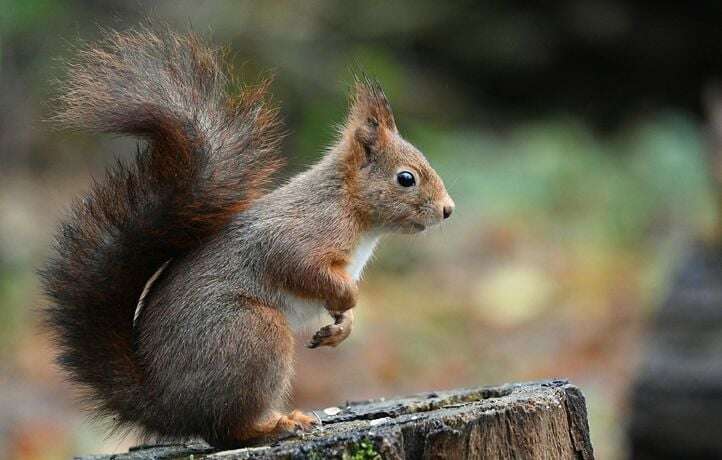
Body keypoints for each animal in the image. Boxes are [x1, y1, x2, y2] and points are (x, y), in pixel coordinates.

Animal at [40, 27, 450, 448]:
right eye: (406, 178)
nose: (447, 209)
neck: (351, 207)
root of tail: (167, 404)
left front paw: (341, 326)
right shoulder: (301, 233)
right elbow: (298, 266)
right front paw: (349, 299)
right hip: (253, 333)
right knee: (228, 431)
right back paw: (279, 425)